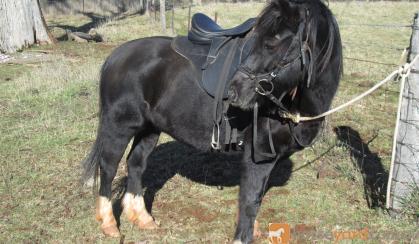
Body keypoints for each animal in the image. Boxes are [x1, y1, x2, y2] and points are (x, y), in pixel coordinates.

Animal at [83, 0, 342, 242]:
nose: (235, 90)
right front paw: (242, 236)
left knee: (136, 164)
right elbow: (249, 200)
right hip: (119, 127)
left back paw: (143, 218)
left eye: (272, 43)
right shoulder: (257, 157)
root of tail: (116, 56)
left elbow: (255, 198)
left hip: (149, 129)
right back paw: (109, 223)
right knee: (109, 167)